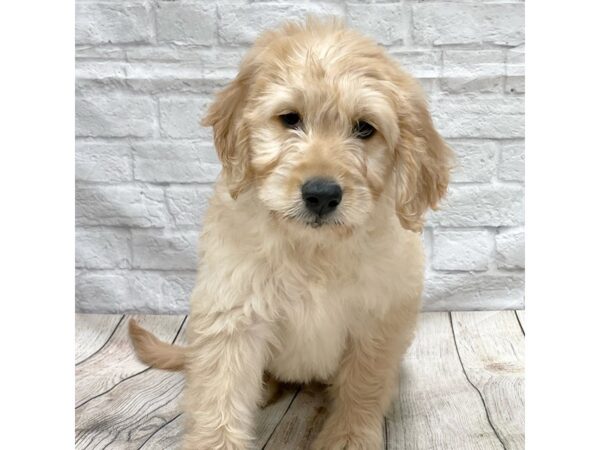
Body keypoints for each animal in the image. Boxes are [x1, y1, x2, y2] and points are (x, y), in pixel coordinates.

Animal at [129, 17, 452, 450]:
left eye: (365, 128)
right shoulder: (231, 316)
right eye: (290, 119)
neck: (312, 249)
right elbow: (219, 397)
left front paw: (349, 438)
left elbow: (363, 389)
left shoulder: (379, 321)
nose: (322, 195)